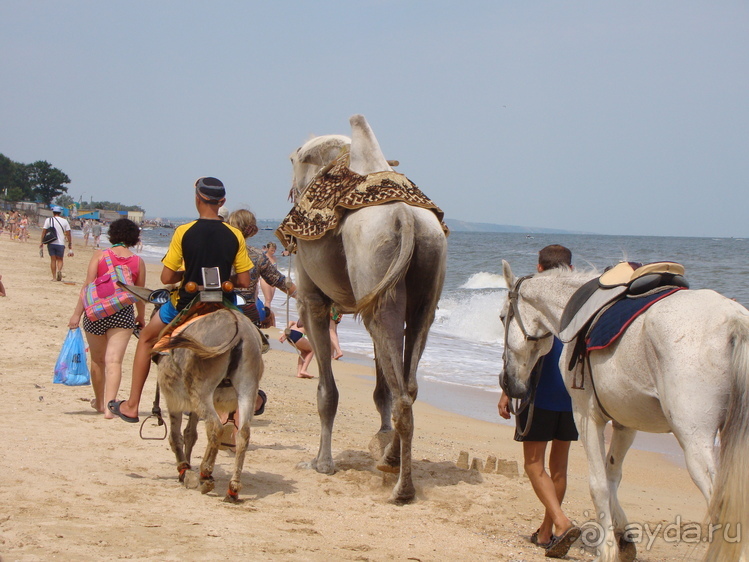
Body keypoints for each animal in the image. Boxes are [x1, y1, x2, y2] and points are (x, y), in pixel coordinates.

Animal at [280, 115, 444, 504]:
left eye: (293, 160)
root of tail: (405, 217)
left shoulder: (312, 300)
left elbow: (327, 391)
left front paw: (321, 463)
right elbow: (379, 386)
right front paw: (379, 441)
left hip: (376, 264)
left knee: (402, 392)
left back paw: (401, 487)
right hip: (423, 276)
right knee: (409, 383)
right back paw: (389, 461)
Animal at [496, 262, 748, 560]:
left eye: (502, 317)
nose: (508, 383)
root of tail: (734, 320)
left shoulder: (585, 416)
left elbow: (598, 484)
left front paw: (607, 548)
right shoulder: (626, 424)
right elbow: (612, 476)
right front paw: (623, 538)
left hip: (694, 440)